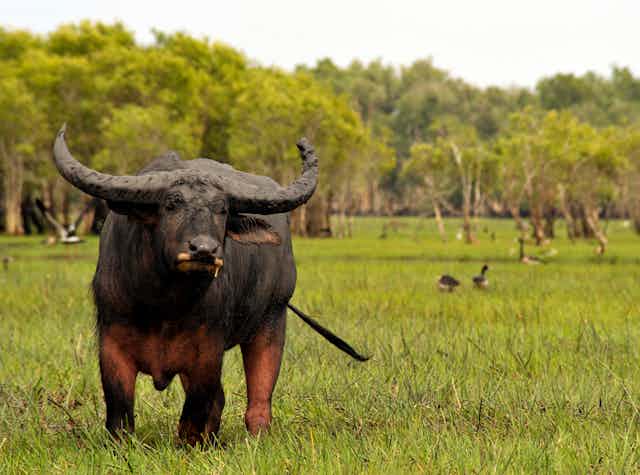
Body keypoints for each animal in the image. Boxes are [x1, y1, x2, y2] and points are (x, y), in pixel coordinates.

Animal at [51, 125, 367, 444]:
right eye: (171, 203)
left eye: (222, 209)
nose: (203, 250)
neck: (163, 305)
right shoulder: (112, 346)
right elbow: (119, 415)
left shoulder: (207, 353)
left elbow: (195, 414)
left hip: (272, 320)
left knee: (258, 400)